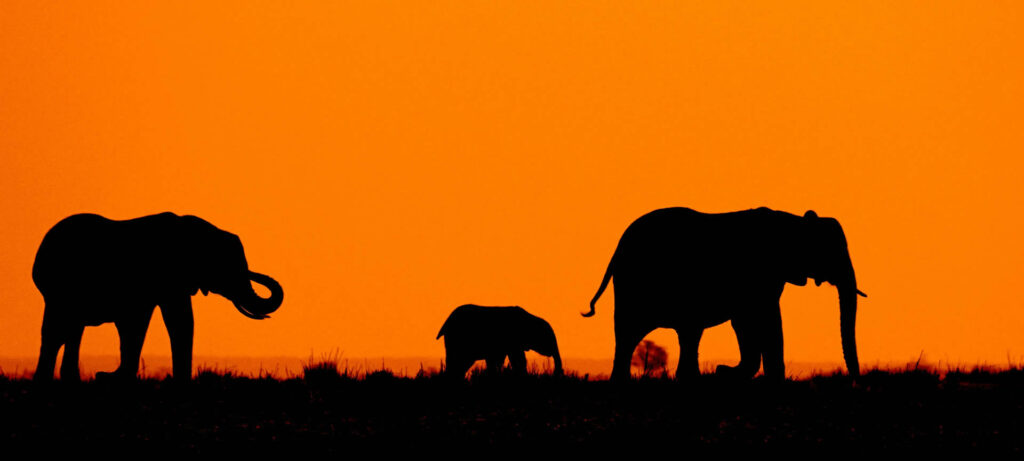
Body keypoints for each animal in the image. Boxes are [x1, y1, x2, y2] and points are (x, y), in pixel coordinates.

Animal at [32, 212, 284, 381]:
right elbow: (156, 322)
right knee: (56, 332)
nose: (254, 273)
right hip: (57, 289)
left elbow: (171, 321)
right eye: (228, 267)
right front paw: (112, 377)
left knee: (71, 330)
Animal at [585, 208, 864, 381]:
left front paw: (726, 372)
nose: (855, 381)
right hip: (634, 284)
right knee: (632, 332)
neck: (794, 222)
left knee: (679, 334)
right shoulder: (760, 274)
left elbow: (746, 323)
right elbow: (765, 320)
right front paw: (728, 372)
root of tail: (618, 248)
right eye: (832, 251)